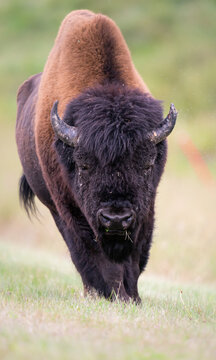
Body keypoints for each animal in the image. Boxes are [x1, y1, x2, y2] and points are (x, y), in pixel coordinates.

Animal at [15, 10, 177, 304]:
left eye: (147, 165)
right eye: (84, 165)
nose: (116, 218)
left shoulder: (145, 210)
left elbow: (135, 257)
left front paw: (132, 298)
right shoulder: (70, 209)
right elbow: (92, 255)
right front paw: (109, 294)